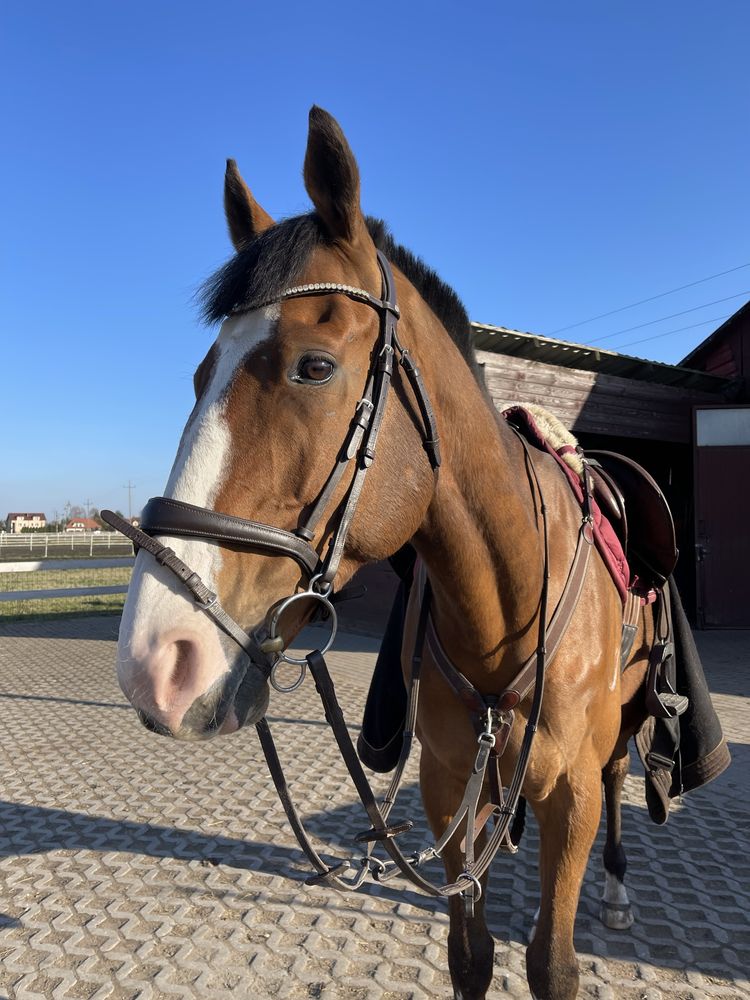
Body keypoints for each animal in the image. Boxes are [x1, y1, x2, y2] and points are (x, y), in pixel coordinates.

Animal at [113, 105, 656, 996]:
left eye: (314, 366)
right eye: (199, 375)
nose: (157, 661)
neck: (508, 605)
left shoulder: (569, 797)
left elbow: (554, 961)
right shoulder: (446, 786)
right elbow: (470, 953)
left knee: (619, 781)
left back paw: (614, 894)